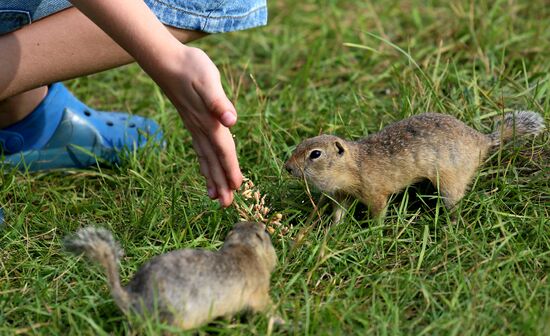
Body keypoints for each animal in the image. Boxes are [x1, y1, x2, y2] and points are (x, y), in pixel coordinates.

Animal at [64, 222, 278, 330]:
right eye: (266, 231)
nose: (261, 223)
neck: (243, 247)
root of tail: (132, 297)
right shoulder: (259, 290)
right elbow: (264, 305)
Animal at [286, 111, 544, 224]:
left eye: (315, 154)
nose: (287, 167)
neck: (353, 165)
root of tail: (482, 140)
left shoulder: (375, 193)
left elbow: (378, 211)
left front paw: (373, 231)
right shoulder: (341, 194)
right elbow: (339, 211)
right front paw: (333, 229)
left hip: (451, 182)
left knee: (455, 203)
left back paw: (450, 223)